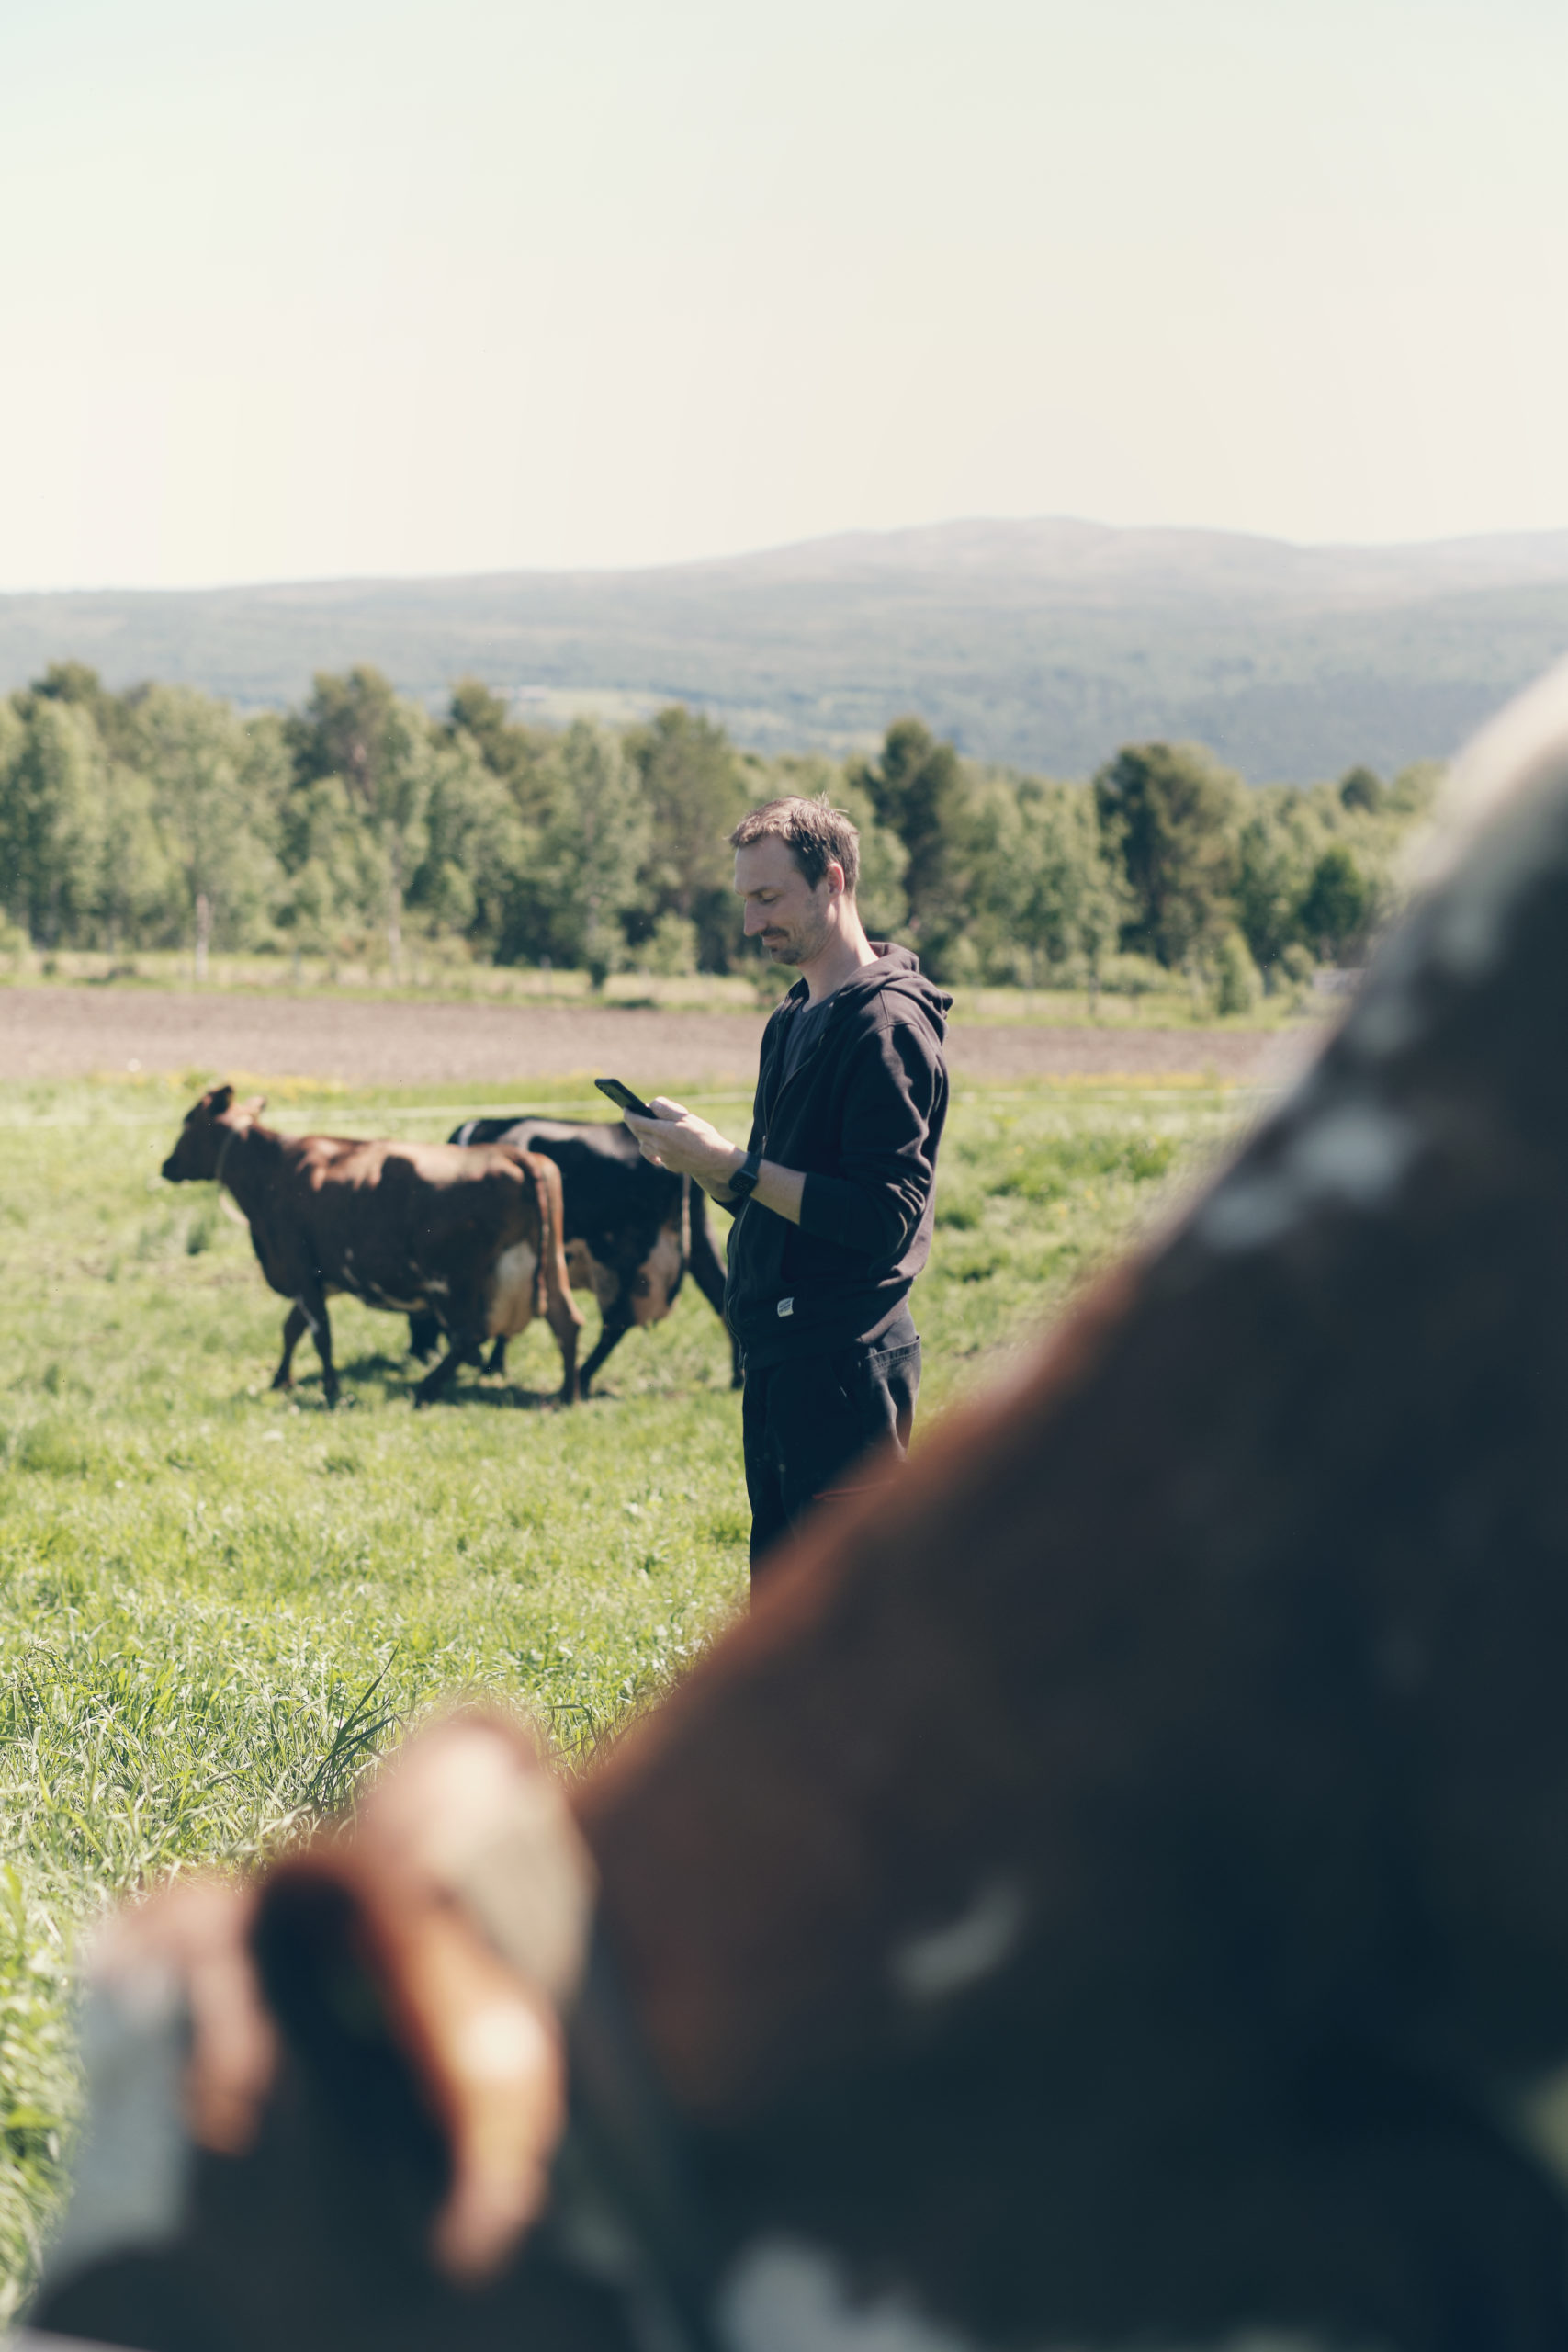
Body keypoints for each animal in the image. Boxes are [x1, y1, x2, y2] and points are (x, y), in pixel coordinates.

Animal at [162, 1086, 585, 1401]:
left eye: (189, 1122)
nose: (166, 1165)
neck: (274, 1168)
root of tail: (512, 1154)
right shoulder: (318, 1276)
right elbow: (293, 1328)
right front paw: (282, 1380)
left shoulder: (300, 1267)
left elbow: (320, 1333)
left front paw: (331, 1391)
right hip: (548, 1264)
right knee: (567, 1320)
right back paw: (567, 1396)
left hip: (452, 1278)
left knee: (468, 1334)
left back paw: (426, 1389)